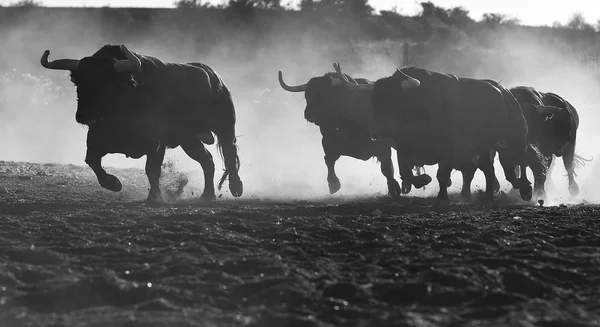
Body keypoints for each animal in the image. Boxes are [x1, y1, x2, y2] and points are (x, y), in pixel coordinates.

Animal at [39, 44, 243, 204]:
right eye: (78, 83)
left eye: (105, 83)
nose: (83, 115)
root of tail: (215, 78)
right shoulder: (96, 137)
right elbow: (92, 161)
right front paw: (113, 183)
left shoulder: (157, 142)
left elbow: (152, 170)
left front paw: (154, 198)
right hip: (188, 139)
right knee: (207, 160)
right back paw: (207, 195)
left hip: (224, 127)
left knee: (229, 153)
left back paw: (236, 187)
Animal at [278, 66, 404, 197]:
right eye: (306, 95)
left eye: (325, 94)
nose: (309, 113)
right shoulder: (327, 142)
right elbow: (329, 160)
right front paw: (333, 184)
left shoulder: (383, 146)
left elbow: (387, 168)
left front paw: (394, 188)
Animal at [332, 63, 540, 206]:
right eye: (374, 101)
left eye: (396, 101)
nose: (376, 131)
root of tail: (506, 94)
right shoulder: (404, 149)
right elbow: (406, 173)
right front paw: (423, 180)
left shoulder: (448, 151)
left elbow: (442, 175)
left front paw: (441, 198)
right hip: (482, 149)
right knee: (489, 170)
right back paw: (488, 197)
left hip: (513, 143)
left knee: (516, 166)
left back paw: (525, 188)